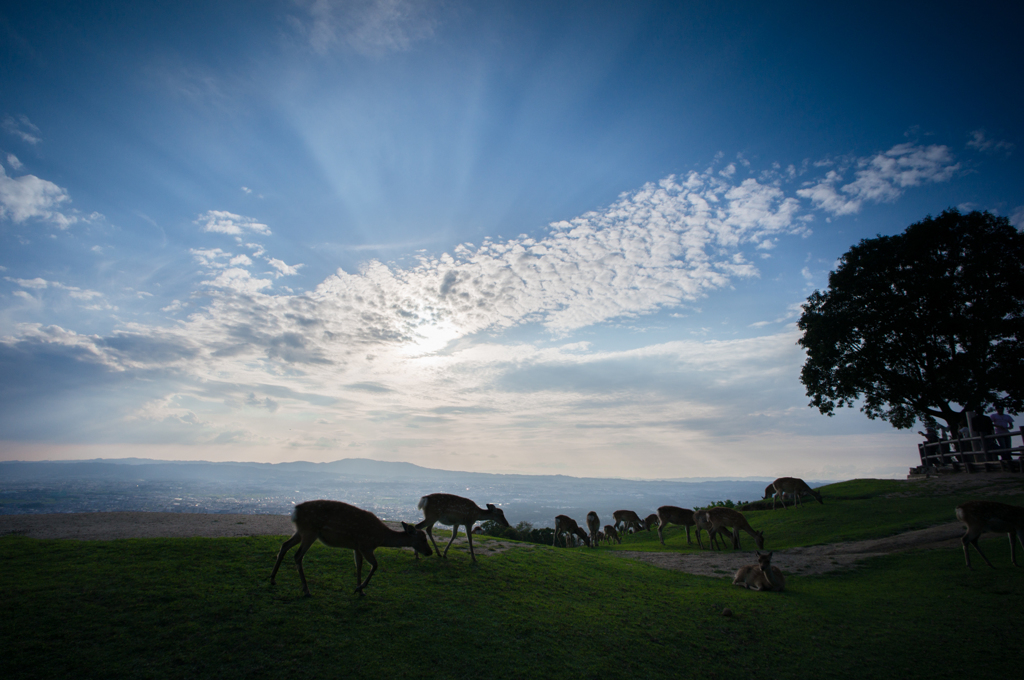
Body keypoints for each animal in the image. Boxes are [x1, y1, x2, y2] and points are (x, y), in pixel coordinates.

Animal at [270, 499, 430, 593]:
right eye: (423, 539)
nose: (430, 552)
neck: (381, 538)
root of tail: (295, 512)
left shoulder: (357, 547)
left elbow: (358, 566)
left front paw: (359, 590)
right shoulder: (366, 545)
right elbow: (375, 565)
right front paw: (361, 587)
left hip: (300, 531)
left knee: (284, 545)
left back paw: (272, 579)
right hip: (310, 532)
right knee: (298, 556)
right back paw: (306, 590)